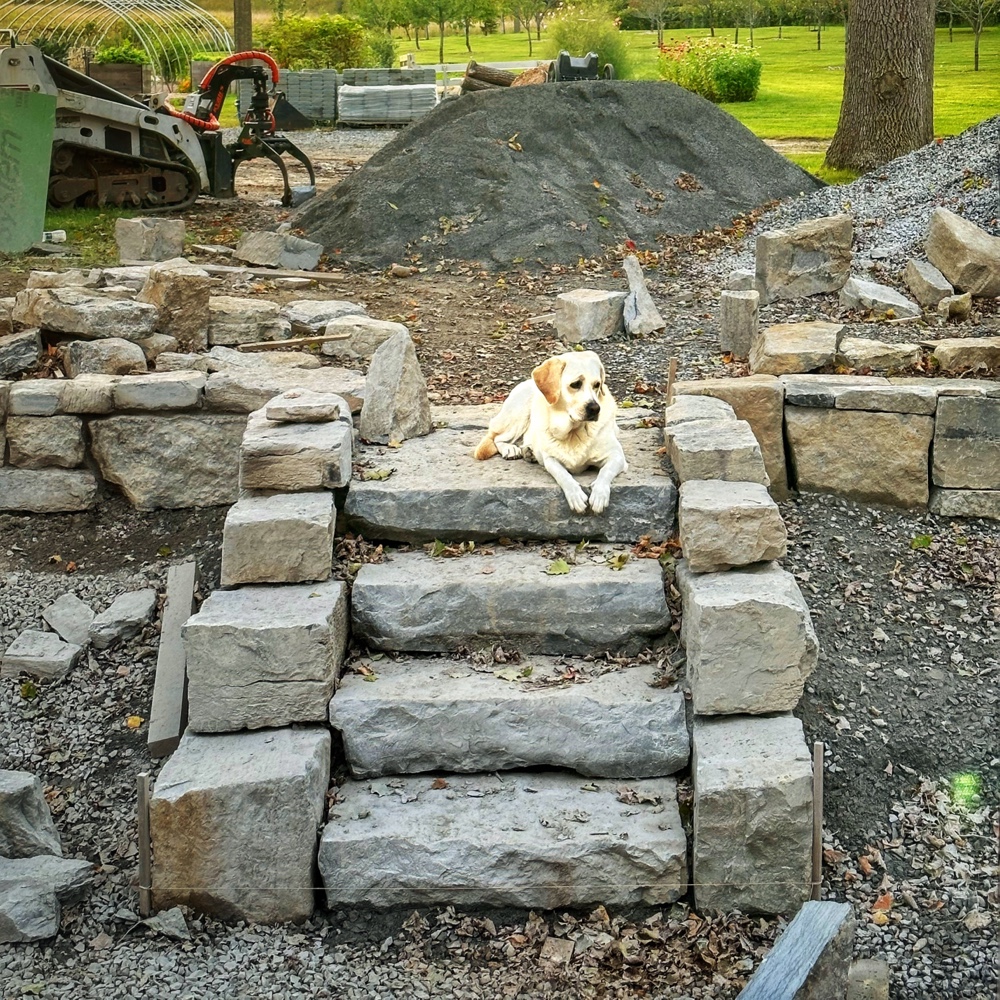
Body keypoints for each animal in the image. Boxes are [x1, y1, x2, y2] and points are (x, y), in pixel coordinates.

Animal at [474, 350, 624, 516]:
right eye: (576, 384)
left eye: (597, 385)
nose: (595, 408)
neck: (573, 432)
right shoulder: (550, 459)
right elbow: (563, 475)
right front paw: (575, 495)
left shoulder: (617, 456)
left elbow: (605, 471)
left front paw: (599, 494)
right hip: (517, 417)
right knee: (496, 437)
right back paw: (510, 449)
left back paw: (528, 452)